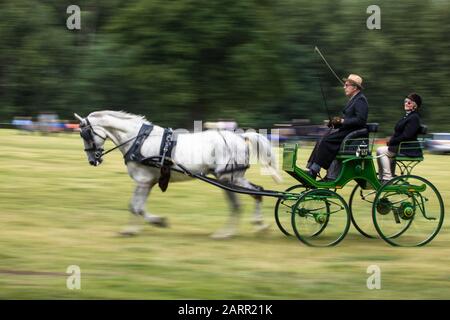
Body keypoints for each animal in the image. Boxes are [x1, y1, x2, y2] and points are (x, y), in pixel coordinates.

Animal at [75, 110, 280, 238]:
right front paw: (138, 228)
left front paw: (154, 223)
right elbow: (136, 206)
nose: (93, 160)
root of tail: (240, 137)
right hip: (235, 178)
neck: (138, 140)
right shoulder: (147, 182)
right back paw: (260, 224)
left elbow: (137, 208)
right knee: (257, 192)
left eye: (85, 134)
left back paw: (226, 233)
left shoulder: (142, 180)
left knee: (237, 205)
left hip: (227, 179)